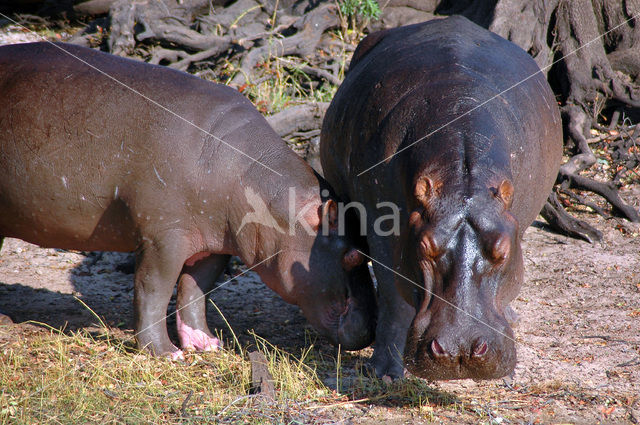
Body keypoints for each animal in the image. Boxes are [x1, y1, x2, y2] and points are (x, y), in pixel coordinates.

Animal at [0, 42, 378, 354]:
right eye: (354, 255)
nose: (370, 333)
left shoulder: (214, 244)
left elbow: (195, 291)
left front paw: (207, 344)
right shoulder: (163, 237)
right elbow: (154, 289)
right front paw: (166, 353)